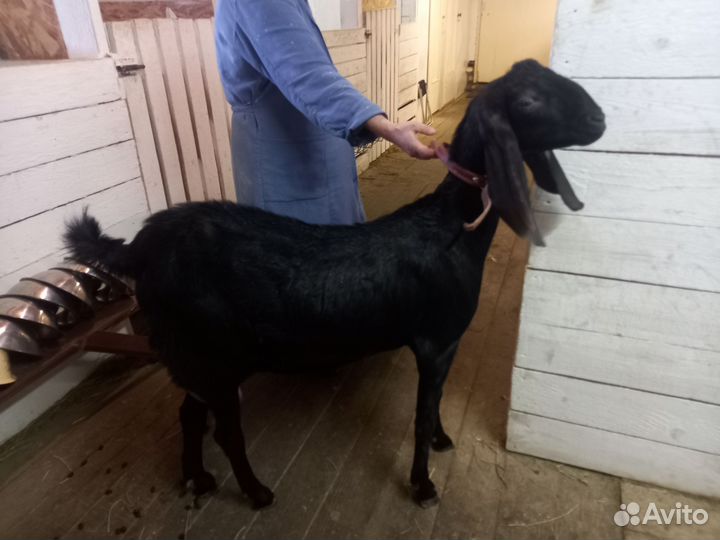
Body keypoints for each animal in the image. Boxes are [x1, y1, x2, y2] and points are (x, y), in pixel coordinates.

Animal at [64, 59, 605, 509]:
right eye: (528, 101)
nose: (599, 119)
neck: (453, 225)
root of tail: (137, 248)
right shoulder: (435, 342)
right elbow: (420, 413)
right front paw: (423, 484)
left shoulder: (446, 346)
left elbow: (434, 406)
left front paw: (442, 441)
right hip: (210, 355)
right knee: (224, 432)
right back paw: (256, 493)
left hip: (195, 359)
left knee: (190, 416)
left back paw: (197, 478)